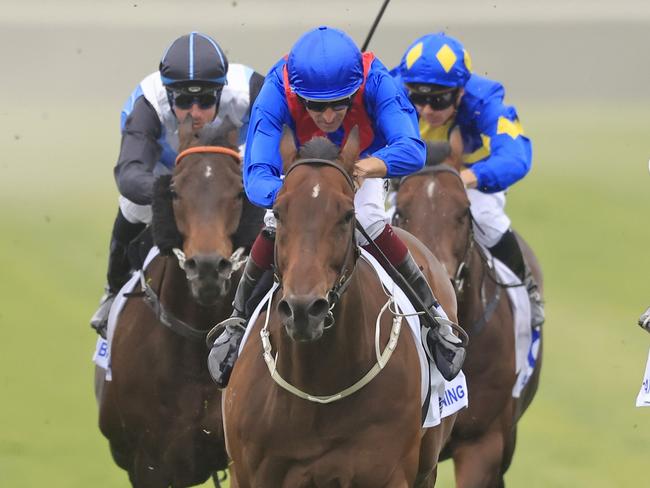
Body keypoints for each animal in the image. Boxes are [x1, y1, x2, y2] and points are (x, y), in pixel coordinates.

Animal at [225, 127, 458, 486]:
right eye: (278, 212)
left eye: (347, 215)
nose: (304, 309)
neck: (318, 385)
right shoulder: (250, 474)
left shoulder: (388, 474)